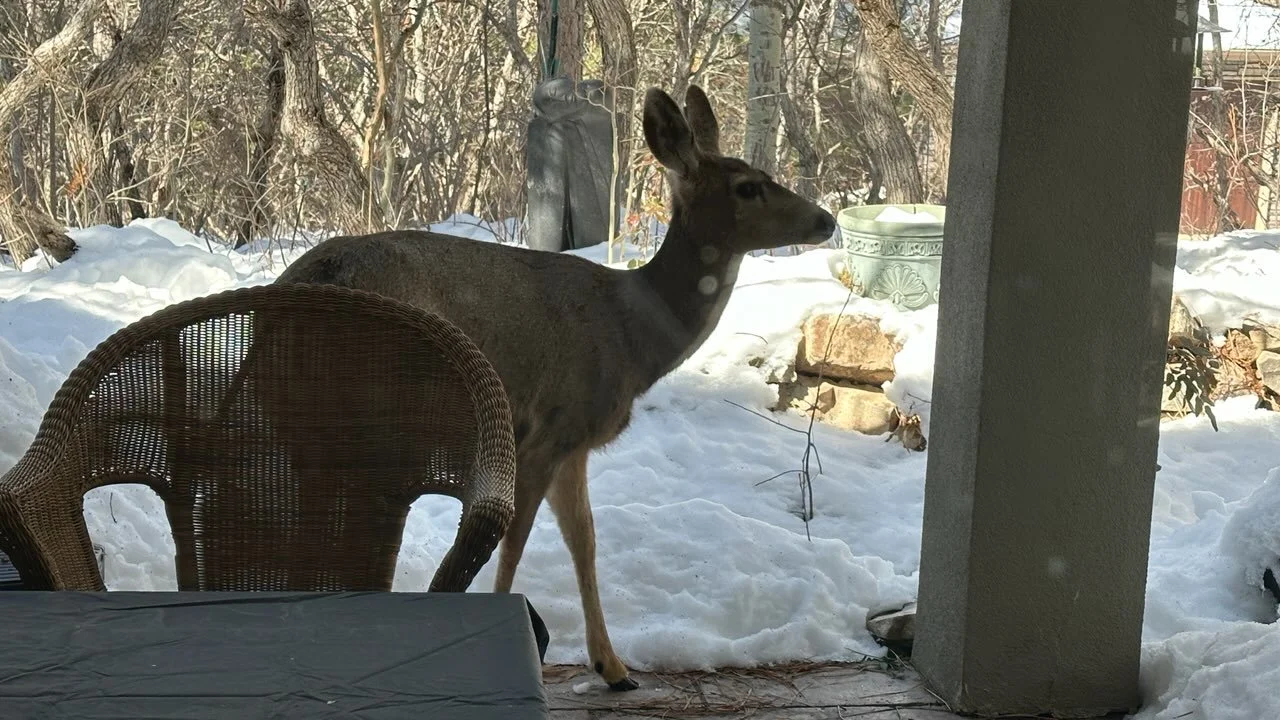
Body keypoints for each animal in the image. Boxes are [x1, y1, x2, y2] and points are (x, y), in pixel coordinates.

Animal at [273, 85, 837, 690]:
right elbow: (516, 543)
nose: (827, 220)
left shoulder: (575, 444)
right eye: (748, 186)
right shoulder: (551, 426)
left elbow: (584, 541)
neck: (633, 335)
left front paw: (613, 666)